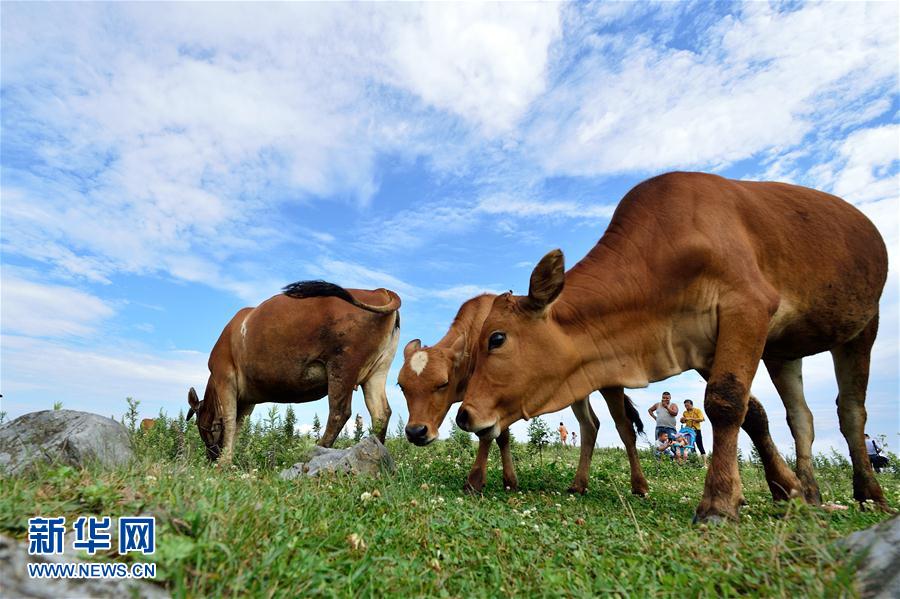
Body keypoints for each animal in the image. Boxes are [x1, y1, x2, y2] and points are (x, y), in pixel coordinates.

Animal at [188, 282, 400, 464]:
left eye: (201, 427)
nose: (211, 457)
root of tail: (379, 291)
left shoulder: (224, 376)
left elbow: (230, 421)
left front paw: (223, 463)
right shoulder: (247, 399)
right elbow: (239, 426)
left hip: (343, 365)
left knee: (339, 412)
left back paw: (317, 450)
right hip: (377, 371)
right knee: (381, 413)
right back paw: (378, 452)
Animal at [400, 292, 648, 494]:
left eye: (443, 383)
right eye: (402, 386)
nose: (415, 432)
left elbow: (486, 435)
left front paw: (474, 481)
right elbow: (502, 437)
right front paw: (509, 481)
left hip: (612, 384)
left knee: (624, 427)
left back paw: (639, 486)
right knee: (590, 425)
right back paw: (579, 485)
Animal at [460, 171, 888, 524]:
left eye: (496, 338)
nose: (465, 415)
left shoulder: (747, 307)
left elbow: (726, 401)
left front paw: (719, 502)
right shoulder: (700, 345)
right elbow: (754, 414)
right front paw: (789, 489)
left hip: (863, 326)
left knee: (851, 413)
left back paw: (871, 495)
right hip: (784, 351)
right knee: (801, 417)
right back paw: (813, 491)